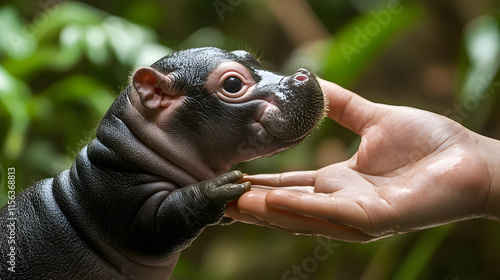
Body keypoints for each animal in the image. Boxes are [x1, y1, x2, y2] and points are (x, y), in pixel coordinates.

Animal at [0, 47, 326, 278]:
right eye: (233, 83)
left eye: (249, 56)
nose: (302, 74)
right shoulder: (122, 204)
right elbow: (164, 221)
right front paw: (220, 187)